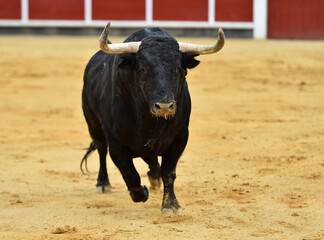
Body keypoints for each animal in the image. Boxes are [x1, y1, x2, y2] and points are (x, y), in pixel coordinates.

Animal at [80, 22, 225, 214]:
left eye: (179, 69)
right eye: (143, 69)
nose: (164, 106)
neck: (149, 122)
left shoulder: (180, 137)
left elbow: (168, 172)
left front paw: (171, 205)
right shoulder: (116, 143)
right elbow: (130, 174)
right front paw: (141, 193)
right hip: (93, 125)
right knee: (102, 150)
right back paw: (103, 183)